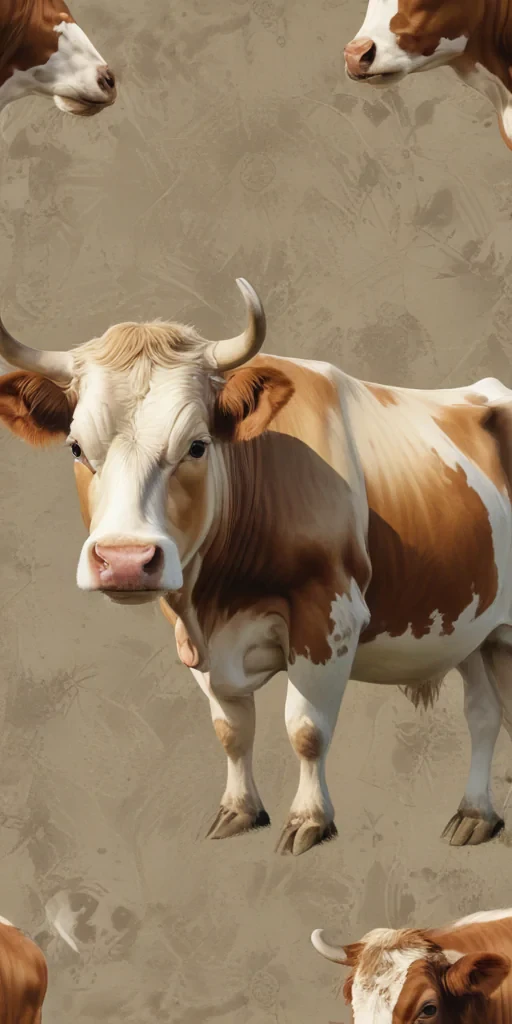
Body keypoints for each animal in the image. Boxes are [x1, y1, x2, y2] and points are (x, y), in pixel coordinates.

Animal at [1, 279, 512, 857]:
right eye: (75, 447)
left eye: (197, 446)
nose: (126, 560)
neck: (217, 603)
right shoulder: (197, 637)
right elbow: (232, 729)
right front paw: (240, 811)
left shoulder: (329, 615)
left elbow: (306, 728)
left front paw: (310, 819)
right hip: (474, 628)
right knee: (484, 713)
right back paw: (475, 815)